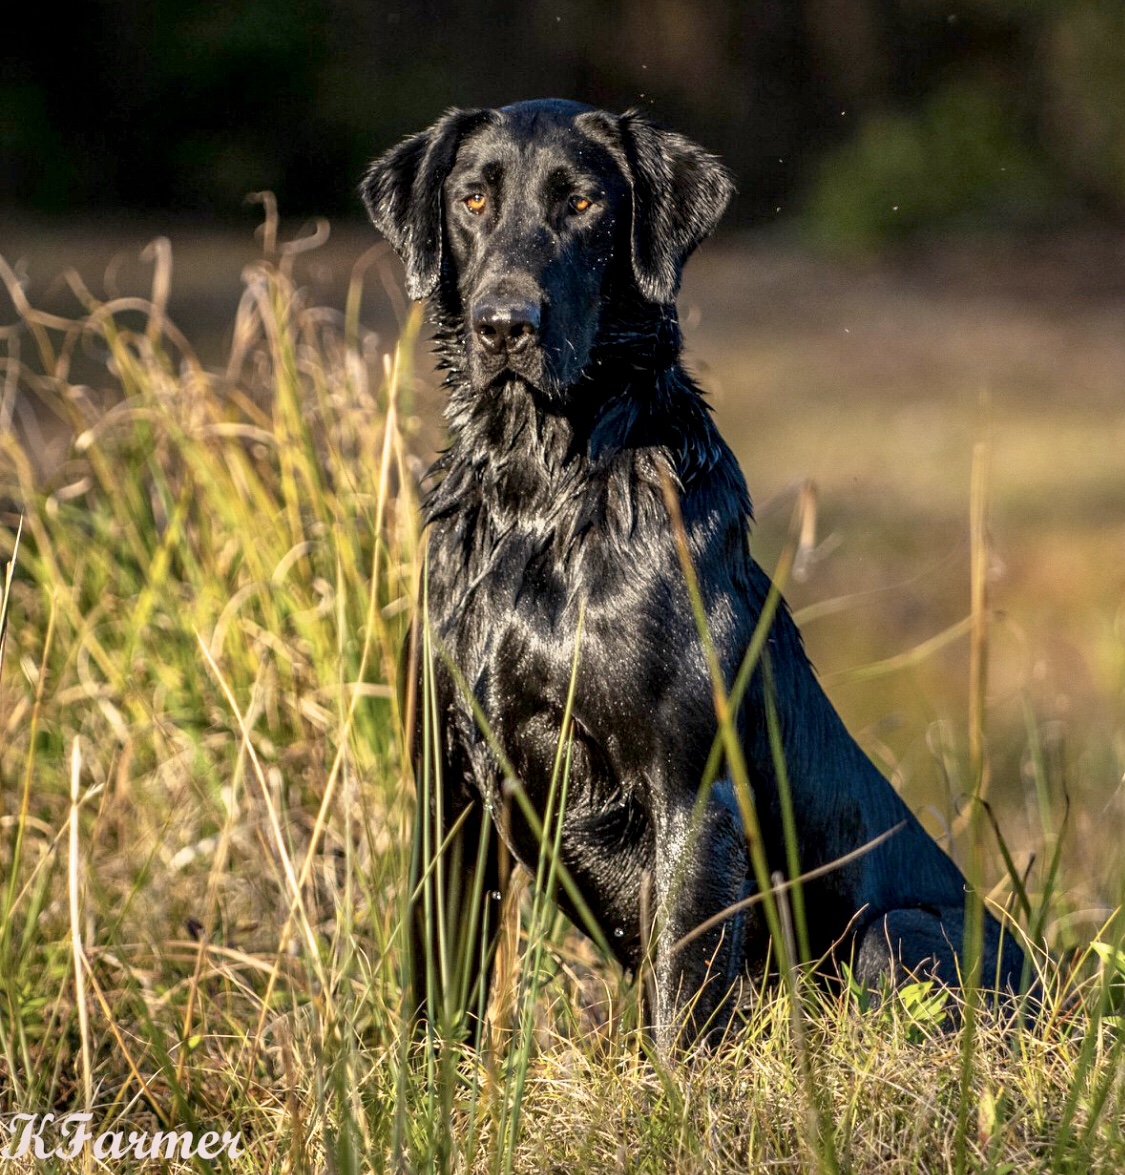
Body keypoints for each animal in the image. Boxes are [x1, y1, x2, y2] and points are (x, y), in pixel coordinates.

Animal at [362, 98, 1025, 1048]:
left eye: (583, 203)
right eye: (472, 198)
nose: (504, 324)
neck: (540, 490)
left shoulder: (690, 791)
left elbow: (680, 1007)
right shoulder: (449, 793)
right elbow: (438, 994)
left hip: (900, 932)